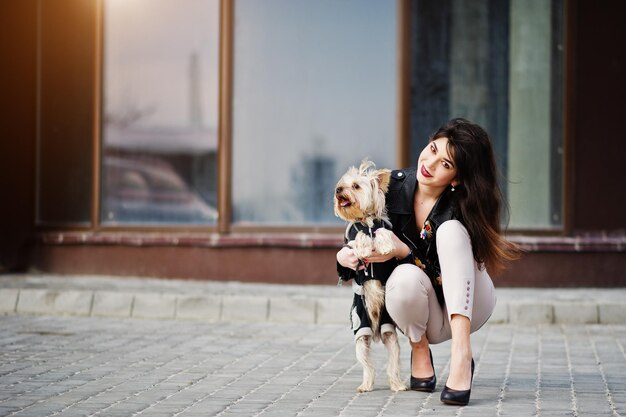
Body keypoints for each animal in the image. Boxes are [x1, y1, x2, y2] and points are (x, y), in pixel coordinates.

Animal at [332, 159, 404, 394]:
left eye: (355, 186)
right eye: (341, 184)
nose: (338, 190)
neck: (366, 219)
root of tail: (375, 331)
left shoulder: (384, 227)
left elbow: (383, 233)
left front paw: (385, 245)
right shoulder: (352, 239)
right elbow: (359, 237)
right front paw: (364, 247)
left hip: (389, 331)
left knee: (393, 362)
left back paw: (398, 385)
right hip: (360, 332)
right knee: (367, 365)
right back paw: (366, 385)